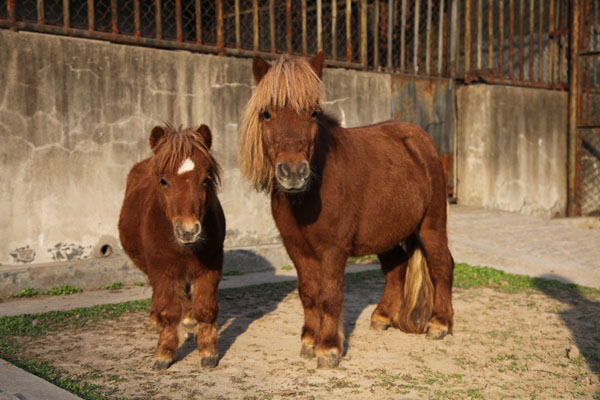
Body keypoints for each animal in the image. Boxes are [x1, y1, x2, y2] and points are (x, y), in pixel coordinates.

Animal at [119, 125, 225, 372]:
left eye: (205, 180)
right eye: (164, 181)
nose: (188, 231)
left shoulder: (210, 268)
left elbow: (205, 308)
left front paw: (208, 351)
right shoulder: (162, 270)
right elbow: (168, 310)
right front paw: (164, 353)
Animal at [239, 53, 454, 368]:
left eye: (312, 113)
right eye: (267, 113)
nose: (294, 173)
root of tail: (419, 139)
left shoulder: (333, 249)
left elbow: (329, 295)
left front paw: (328, 348)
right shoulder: (296, 248)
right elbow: (308, 293)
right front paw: (308, 341)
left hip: (432, 224)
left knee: (441, 265)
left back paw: (440, 324)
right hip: (386, 232)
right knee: (397, 267)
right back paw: (382, 317)